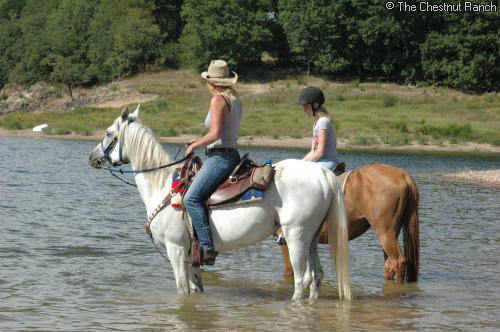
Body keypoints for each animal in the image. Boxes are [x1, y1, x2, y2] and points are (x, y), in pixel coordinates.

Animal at [87, 106, 352, 300]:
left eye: (108, 133)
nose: (92, 157)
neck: (162, 185)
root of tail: (321, 173)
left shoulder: (175, 249)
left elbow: (182, 290)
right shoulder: (190, 256)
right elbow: (195, 290)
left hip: (295, 236)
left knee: (302, 280)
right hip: (311, 238)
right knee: (316, 276)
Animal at [276, 163, 420, 282]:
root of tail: (402, 174)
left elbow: (289, 271)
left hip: (385, 233)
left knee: (399, 262)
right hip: (392, 233)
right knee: (389, 265)